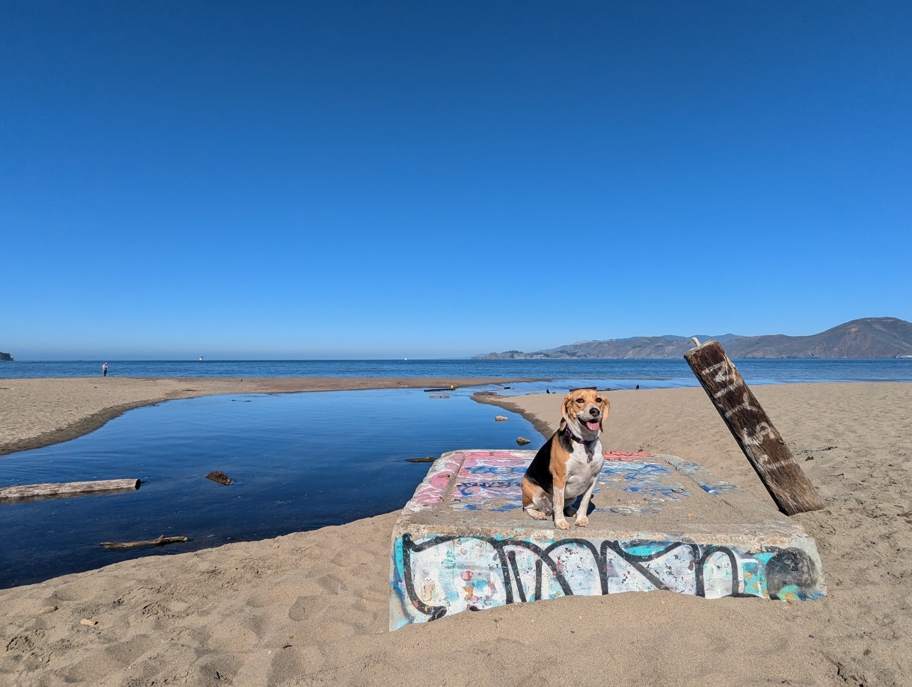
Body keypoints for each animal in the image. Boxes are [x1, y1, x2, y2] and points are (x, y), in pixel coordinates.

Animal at [524, 388, 608, 532]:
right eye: (580, 400)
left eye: (598, 400)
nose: (595, 411)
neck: (584, 442)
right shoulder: (559, 479)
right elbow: (558, 503)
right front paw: (560, 522)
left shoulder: (593, 479)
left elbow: (584, 502)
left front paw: (581, 519)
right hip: (533, 491)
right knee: (528, 508)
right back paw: (538, 514)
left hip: (573, 496)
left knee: (566, 505)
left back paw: (572, 511)